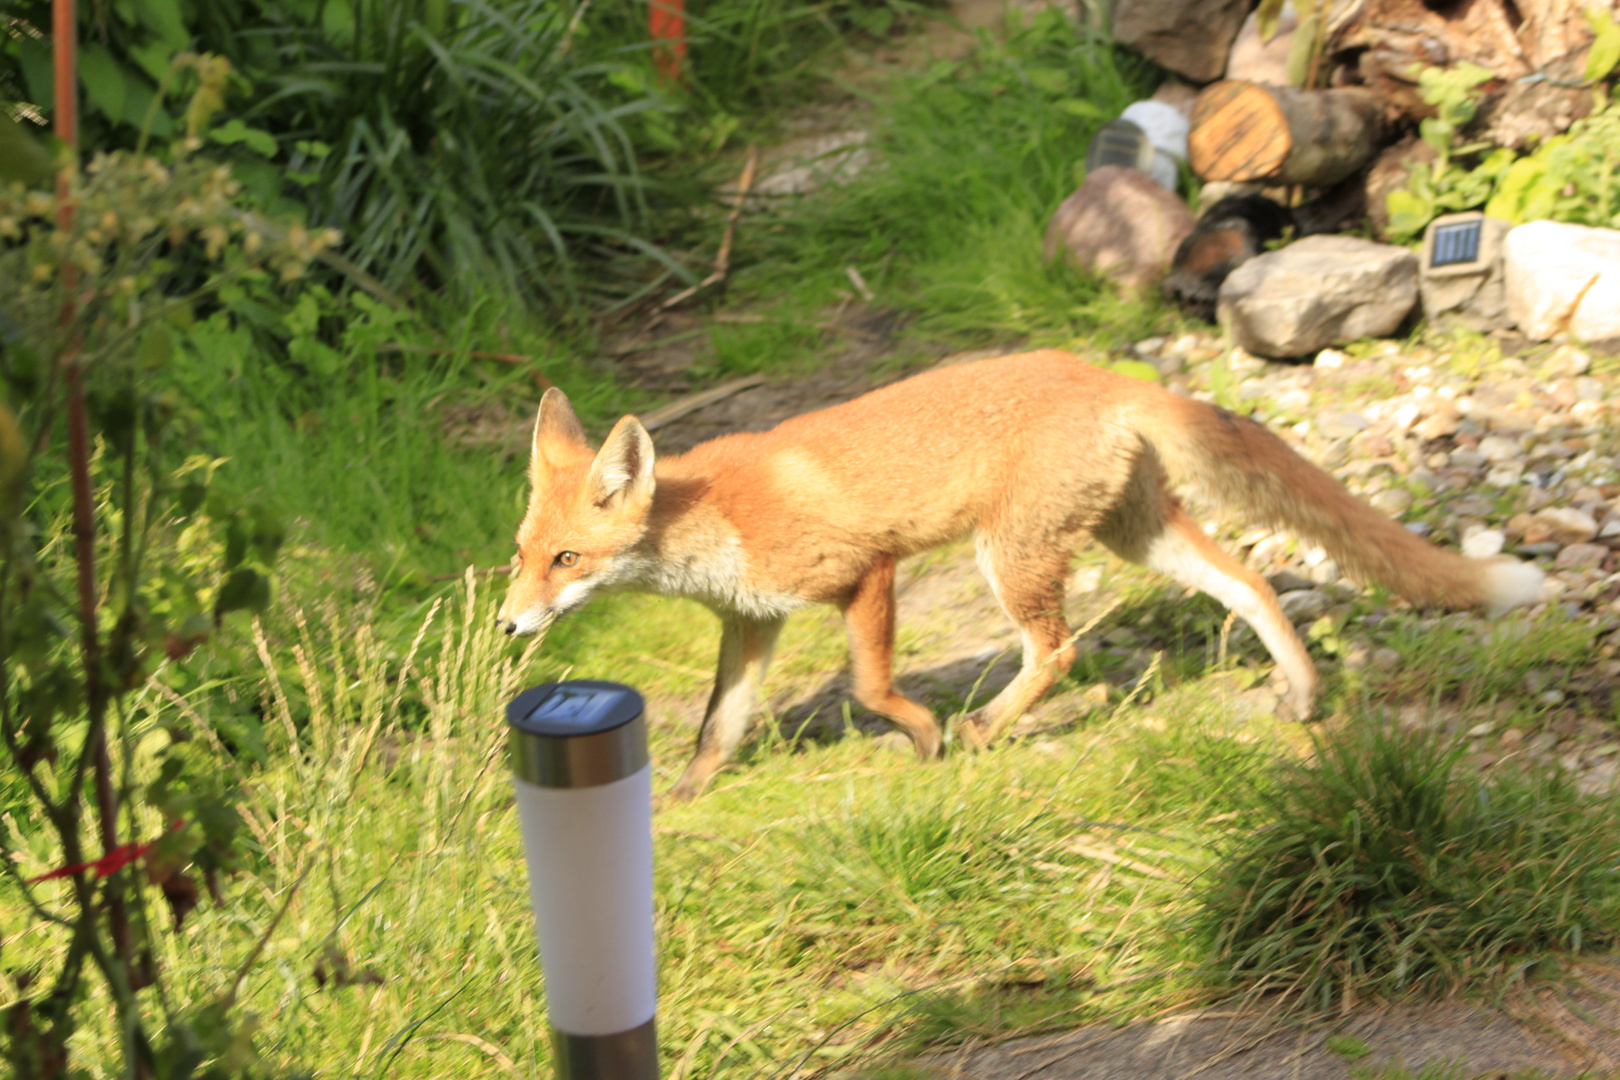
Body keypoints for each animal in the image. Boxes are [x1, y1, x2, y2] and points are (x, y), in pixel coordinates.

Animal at [495, 351, 1542, 799]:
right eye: (520, 556)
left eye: (567, 560)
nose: (507, 626)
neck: (717, 522)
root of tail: (1107, 373)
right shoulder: (752, 623)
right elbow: (718, 726)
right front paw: (683, 802)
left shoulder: (866, 573)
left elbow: (870, 686)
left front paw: (922, 740)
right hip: (1132, 534)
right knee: (1252, 584)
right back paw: (1304, 693)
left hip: (1013, 556)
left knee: (1059, 649)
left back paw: (987, 726)